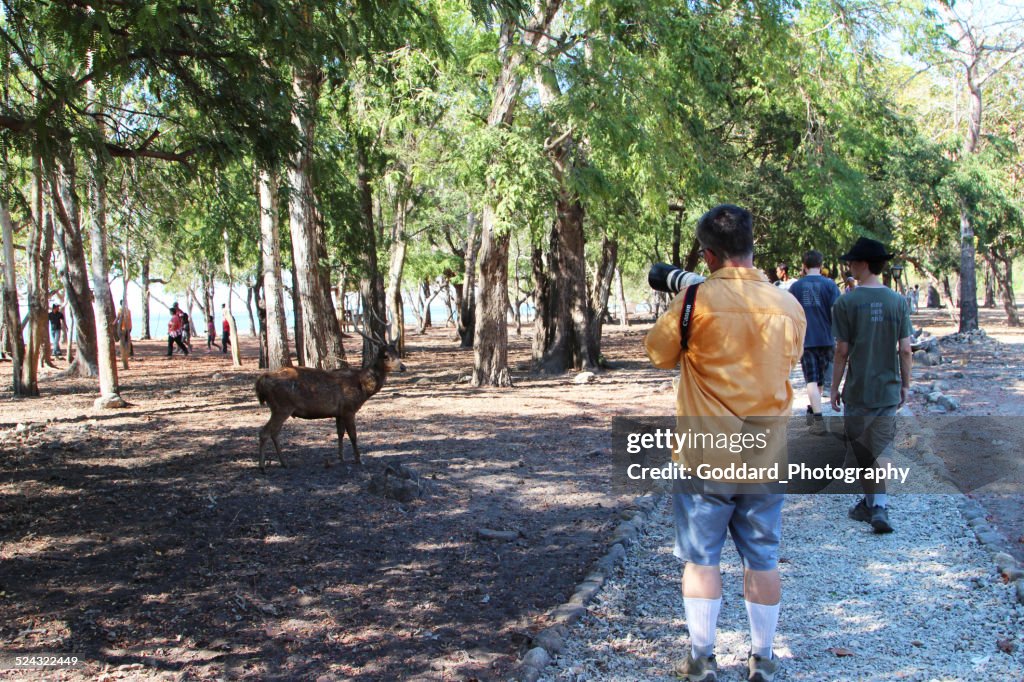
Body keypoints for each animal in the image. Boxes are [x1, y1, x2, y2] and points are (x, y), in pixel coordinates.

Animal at [254, 331, 405, 472]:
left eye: (397, 353)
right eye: (385, 355)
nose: (403, 367)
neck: (363, 387)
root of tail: (261, 381)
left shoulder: (339, 412)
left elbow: (340, 433)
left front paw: (341, 457)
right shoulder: (349, 409)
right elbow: (353, 435)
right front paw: (358, 459)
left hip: (279, 408)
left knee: (274, 433)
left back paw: (283, 463)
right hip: (282, 406)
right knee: (265, 432)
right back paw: (262, 466)